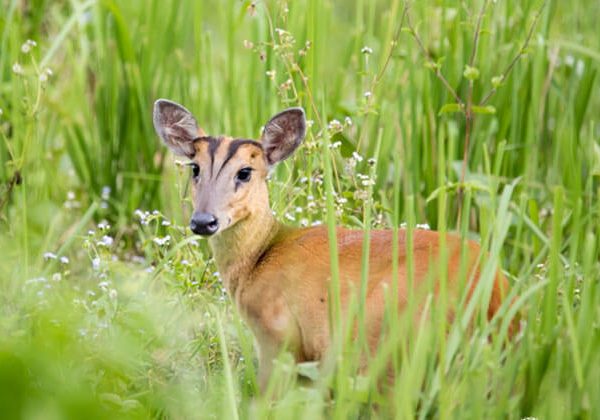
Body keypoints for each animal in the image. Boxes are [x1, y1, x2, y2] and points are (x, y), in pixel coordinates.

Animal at [154, 98, 510, 390]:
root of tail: (491, 290)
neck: (261, 256)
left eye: (245, 172)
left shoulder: (279, 335)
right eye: (195, 167)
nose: (203, 221)